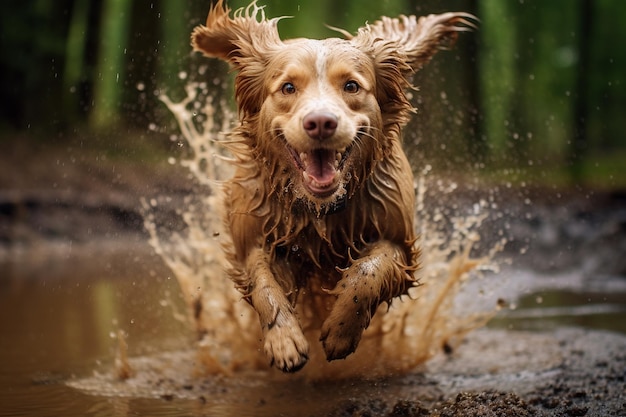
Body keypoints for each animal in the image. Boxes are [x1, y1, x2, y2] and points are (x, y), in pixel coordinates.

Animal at [191, 0, 472, 370]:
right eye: (288, 87)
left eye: (351, 86)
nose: (321, 122)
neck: (319, 210)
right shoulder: (255, 236)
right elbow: (264, 282)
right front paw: (284, 341)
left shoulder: (399, 239)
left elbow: (368, 271)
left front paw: (341, 330)